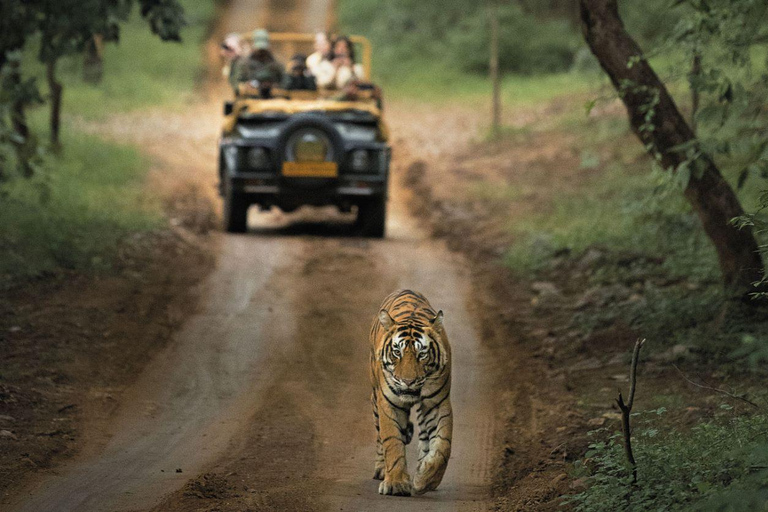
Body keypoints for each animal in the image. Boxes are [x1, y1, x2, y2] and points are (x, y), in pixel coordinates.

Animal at [368, 290, 450, 498]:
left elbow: (443, 445)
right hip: (375, 400)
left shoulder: (437, 403)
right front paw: (396, 483)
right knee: (379, 436)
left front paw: (425, 479)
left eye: (422, 354)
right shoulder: (388, 404)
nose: (408, 381)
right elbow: (392, 442)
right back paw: (381, 470)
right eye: (397, 352)